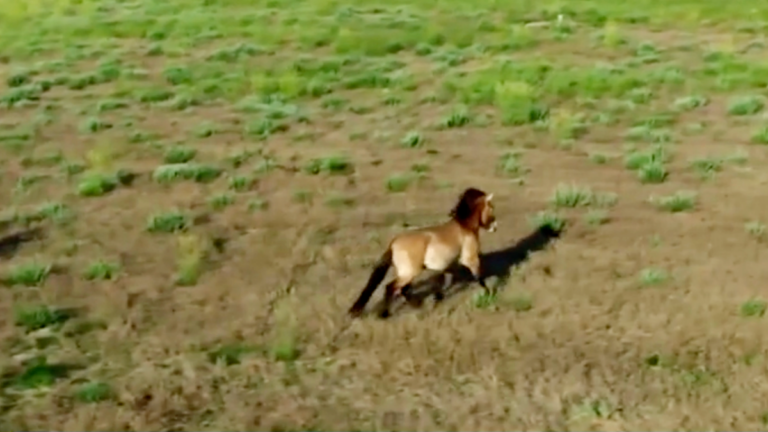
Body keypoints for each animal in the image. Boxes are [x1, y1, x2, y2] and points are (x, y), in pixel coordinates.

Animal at [348, 187, 498, 319]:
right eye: (491, 207)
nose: (495, 228)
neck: (464, 227)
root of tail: (394, 242)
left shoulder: (450, 265)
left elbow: (446, 282)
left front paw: (438, 299)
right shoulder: (470, 259)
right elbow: (479, 277)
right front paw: (489, 294)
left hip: (406, 273)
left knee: (402, 290)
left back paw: (416, 305)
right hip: (409, 273)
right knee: (391, 288)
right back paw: (385, 314)